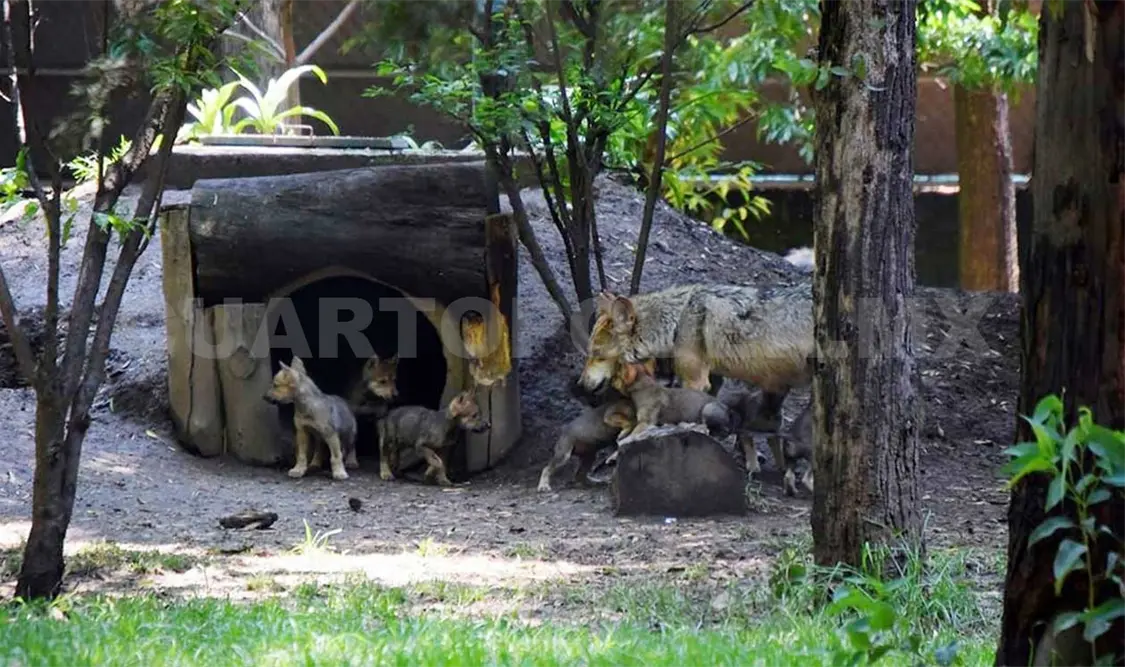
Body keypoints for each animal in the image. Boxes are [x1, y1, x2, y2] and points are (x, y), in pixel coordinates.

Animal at [577, 283, 814, 428]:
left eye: (597, 355)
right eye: (589, 354)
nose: (580, 385)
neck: (676, 322)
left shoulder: (695, 381)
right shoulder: (713, 380)